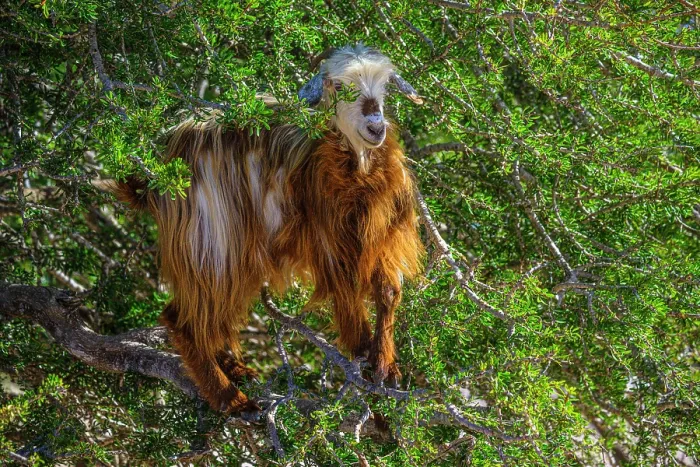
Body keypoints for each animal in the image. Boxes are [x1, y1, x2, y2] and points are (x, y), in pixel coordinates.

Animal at [114, 45, 424, 413]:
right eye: (337, 86)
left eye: (385, 87)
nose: (376, 127)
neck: (358, 170)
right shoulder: (330, 240)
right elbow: (347, 295)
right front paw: (364, 357)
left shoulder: (381, 236)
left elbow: (388, 293)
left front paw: (386, 367)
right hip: (214, 242)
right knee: (183, 319)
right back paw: (233, 401)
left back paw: (236, 371)